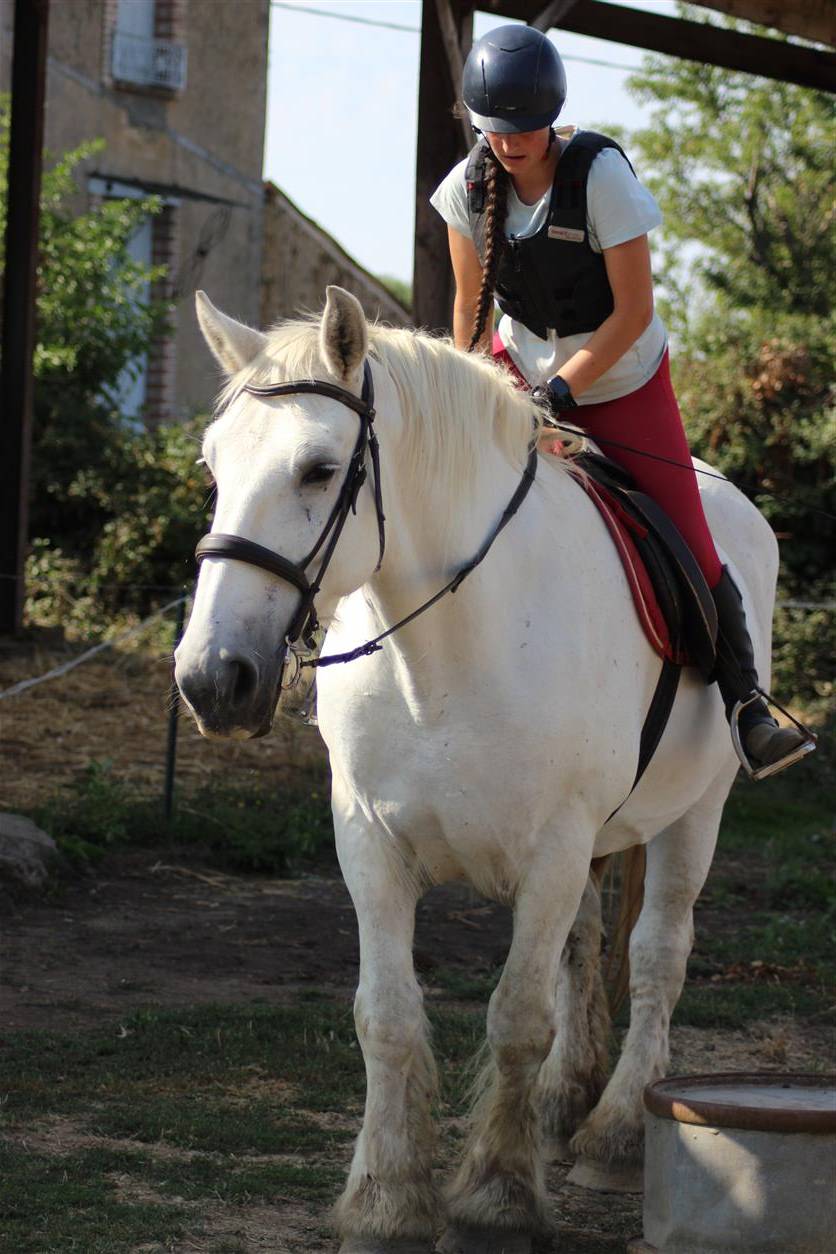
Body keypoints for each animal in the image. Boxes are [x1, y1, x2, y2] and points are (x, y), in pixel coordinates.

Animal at [175, 286, 771, 1254]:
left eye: (318, 469)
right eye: (213, 467)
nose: (210, 678)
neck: (446, 650)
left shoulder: (555, 849)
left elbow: (518, 1017)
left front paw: (495, 1199)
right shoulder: (370, 843)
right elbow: (385, 1016)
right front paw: (386, 1201)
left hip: (697, 812)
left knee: (657, 956)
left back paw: (613, 1132)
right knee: (586, 946)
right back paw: (566, 1103)